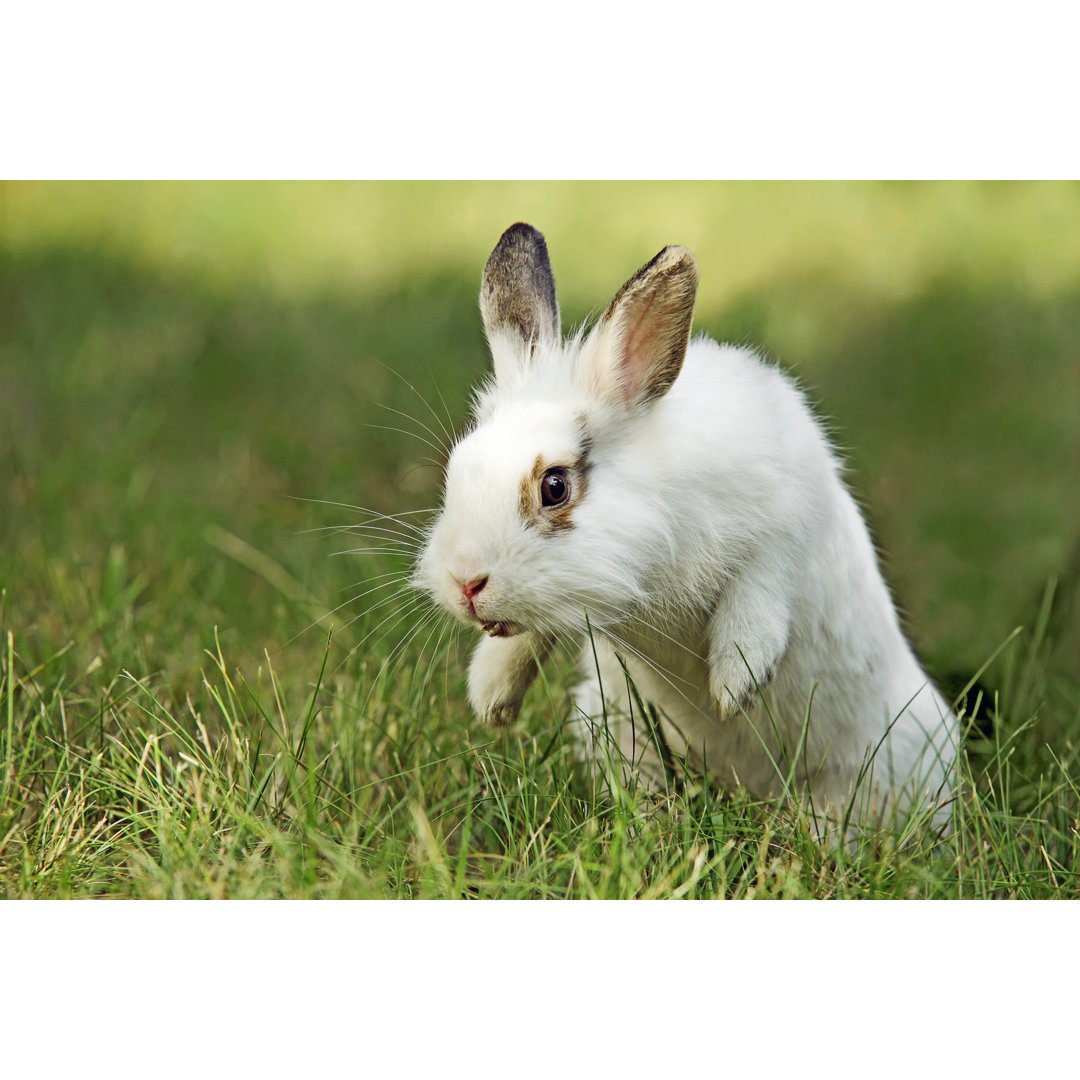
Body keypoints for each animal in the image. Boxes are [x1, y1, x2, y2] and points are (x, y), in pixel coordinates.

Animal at [410, 217, 954, 825]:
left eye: (555, 486)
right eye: (457, 469)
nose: (465, 583)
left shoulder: (785, 523)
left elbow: (759, 591)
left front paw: (735, 684)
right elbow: (525, 637)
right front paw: (491, 698)